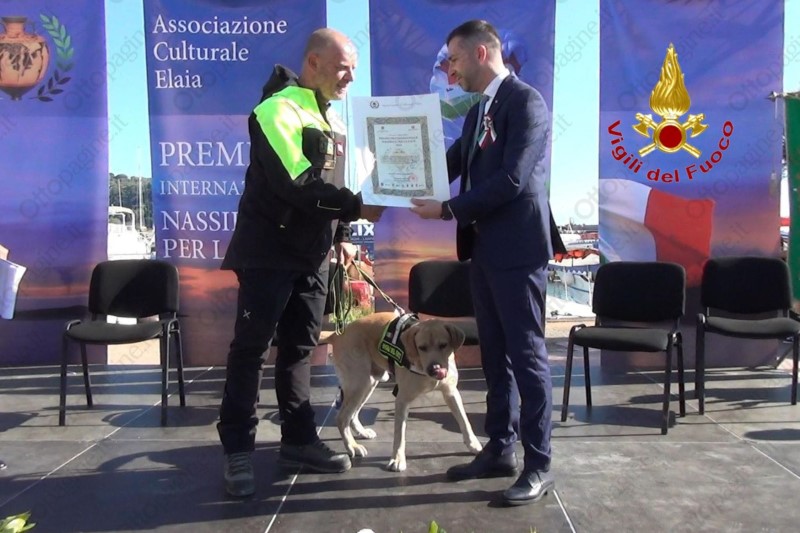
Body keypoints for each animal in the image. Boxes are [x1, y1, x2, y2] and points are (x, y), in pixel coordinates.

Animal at [326, 311, 482, 472]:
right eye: (422, 347)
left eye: (443, 345)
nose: (435, 369)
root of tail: (337, 334)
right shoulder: (402, 400)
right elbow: (399, 435)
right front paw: (397, 459)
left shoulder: (451, 394)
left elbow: (464, 421)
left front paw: (473, 444)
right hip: (359, 383)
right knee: (342, 417)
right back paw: (352, 446)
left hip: (369, 384)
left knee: (353, 414)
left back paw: (361, 432)